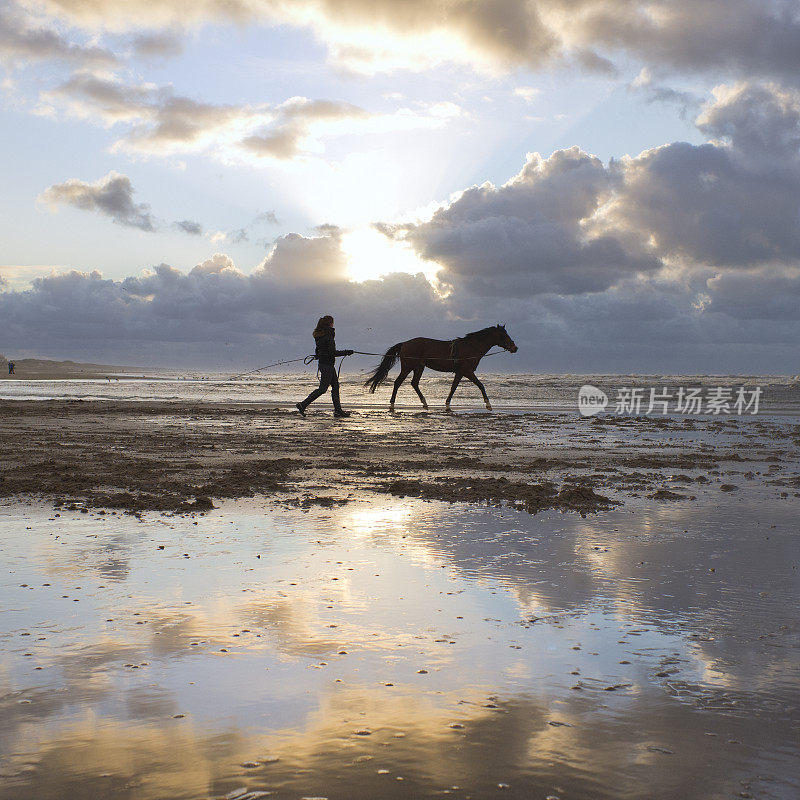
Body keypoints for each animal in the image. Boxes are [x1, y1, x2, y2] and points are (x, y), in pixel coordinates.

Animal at [364, 324, 520, 412]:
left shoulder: (460, 372)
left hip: (419, 367)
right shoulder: (467, 371)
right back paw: (391, 405)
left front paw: (447, 405)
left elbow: (453, 388)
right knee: (398, 383)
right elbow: (481, 385)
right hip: (408, 367)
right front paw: (488, 405)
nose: (515, 347)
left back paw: (425, 403)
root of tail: (405, 343)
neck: (471, 347)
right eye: (503, 335)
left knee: (414, 383)